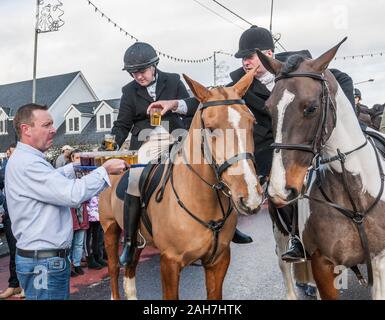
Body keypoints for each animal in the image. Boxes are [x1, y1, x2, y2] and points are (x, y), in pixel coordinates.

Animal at [98, 69, 264, 300]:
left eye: (252, 123)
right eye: (210, 129)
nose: (251, 197)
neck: (204, 201)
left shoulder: (219, 260)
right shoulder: (170, 262)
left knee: (130, 270)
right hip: (110, 228)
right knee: (114, 268)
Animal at [256, 38, 385, 300]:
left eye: (311, 108)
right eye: (268, 109)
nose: (278, 190)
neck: (353, 195)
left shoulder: (380, 259)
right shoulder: (322, 265)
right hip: (280, 232)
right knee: (284, 266)